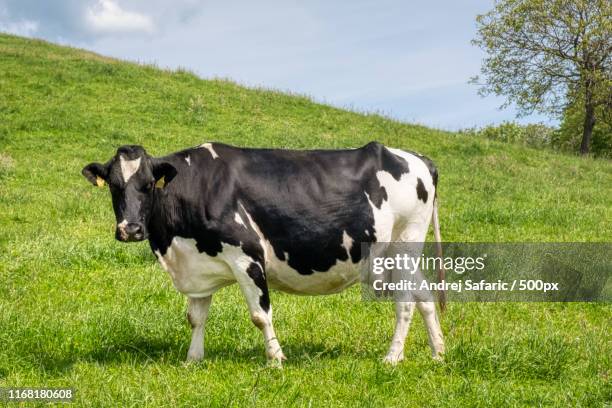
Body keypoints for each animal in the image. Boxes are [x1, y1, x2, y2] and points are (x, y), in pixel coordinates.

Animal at [81, 142, 444, 364]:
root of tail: (418, 159)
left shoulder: (247, 255)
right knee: (425, 295)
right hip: (401, 250)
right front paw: (192, 360)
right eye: (114, 186)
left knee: (406, 302)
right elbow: (195, 317)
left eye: (147, 184)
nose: (130, 229)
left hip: (404, 243)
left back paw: (392, 357)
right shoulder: (198, 264)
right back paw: (438, 352)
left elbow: (260, 315)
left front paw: (276, 360)